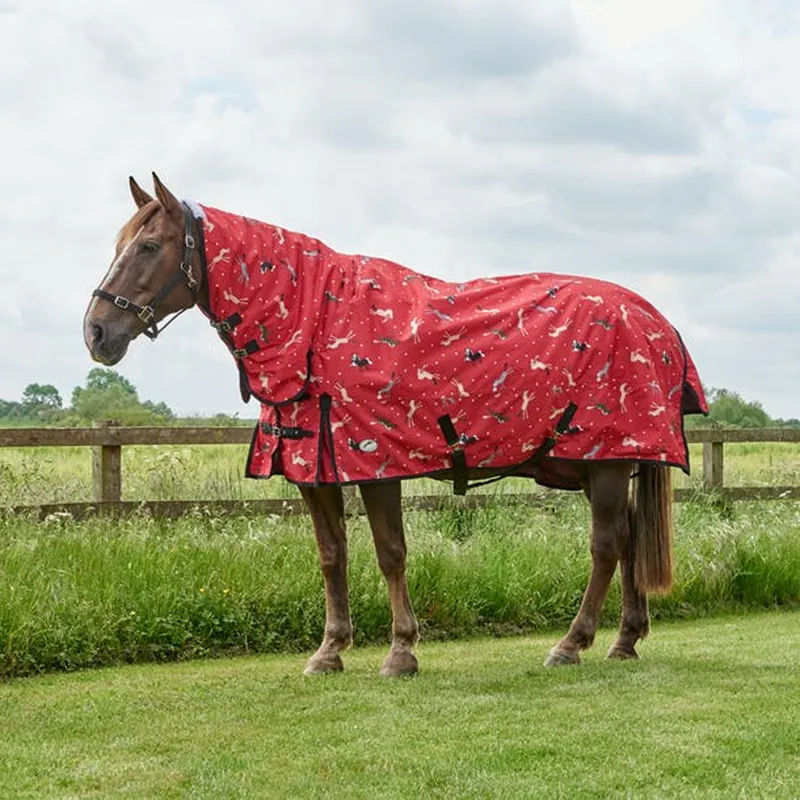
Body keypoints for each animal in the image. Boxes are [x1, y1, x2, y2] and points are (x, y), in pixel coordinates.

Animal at [83, 173, 707, 677]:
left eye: (149, 246)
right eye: (117, 245)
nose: (96, 331)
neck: (318, 322)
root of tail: (659, 323)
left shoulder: (375, 464)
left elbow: (390, 552)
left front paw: (401, 651)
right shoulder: (314, 469)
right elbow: (332, 554)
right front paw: (329, 652)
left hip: (604, 459)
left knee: (606, 545)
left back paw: (571, 645)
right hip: (586, 462)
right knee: (630, 536)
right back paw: (624, 641)